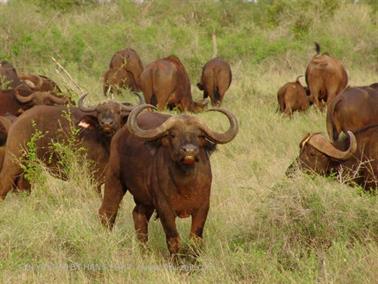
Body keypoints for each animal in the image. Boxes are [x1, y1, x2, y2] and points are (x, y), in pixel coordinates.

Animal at [0, 93, 142, 200]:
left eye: (118, 111)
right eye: (99, 111)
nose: (106, 123)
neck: (106, 144)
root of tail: (19, 120)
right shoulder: (89, 178)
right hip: (14, 160)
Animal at [99, 103, 238, 255]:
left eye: (200, 135)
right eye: (173, 135)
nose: (189, 151)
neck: (185, 184)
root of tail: (119, 135)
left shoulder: (203, 206)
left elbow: (195, 239)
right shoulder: (164, 207)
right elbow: (173, 239)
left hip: (145, 200)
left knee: (139, 216)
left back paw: (145, 252)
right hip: (114, 179)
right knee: (108, 212)